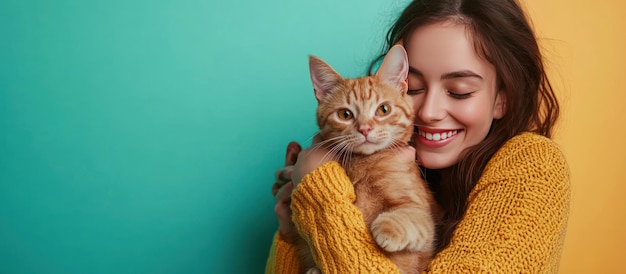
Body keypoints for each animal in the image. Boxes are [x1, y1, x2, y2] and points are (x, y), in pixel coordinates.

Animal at [298, 45, 438, 274]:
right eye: (345, 114)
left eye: (383, 110)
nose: (364, 129)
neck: (365, 164)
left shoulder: (421, 214)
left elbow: (411, 217)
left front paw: (386, 228)